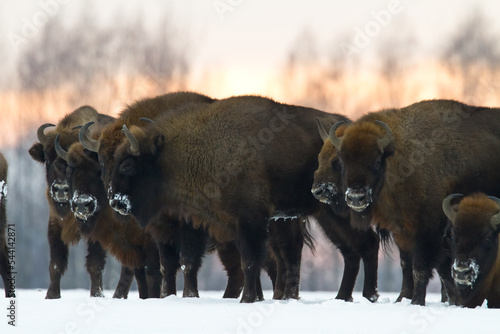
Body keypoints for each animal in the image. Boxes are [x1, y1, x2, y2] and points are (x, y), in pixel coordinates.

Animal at [106, 94, 350, 302]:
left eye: (127, 165)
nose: (115, 201)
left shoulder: (250, 220)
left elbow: (249, 262)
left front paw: (247, 299)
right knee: (294, 254)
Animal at [326, 98, 500, 306]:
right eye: (342, 162)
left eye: (376, 161)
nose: (355, 197)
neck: (399, 156)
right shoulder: (402, 232)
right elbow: (407, 265)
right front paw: (403, 299)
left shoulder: (427, 232)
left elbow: (421, 269)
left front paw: (417, 301)